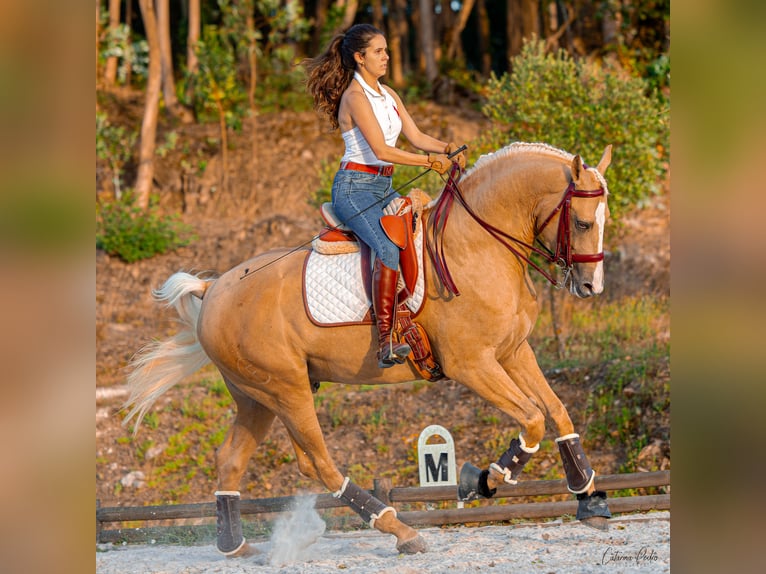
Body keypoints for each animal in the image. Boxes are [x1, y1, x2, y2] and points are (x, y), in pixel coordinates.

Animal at [126, 143, 616, 560]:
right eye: (583, 223)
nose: (592, 288)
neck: (478, 245)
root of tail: (213, 290)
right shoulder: (473, 364)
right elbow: (532, 419)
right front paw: (481, 482)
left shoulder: (514, 352)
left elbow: (557, 412)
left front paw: (589, 499)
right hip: (285, 390)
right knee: (319, 463)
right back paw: (398, 528)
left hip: (256, 398)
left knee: (231, 461)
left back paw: (235, 546)